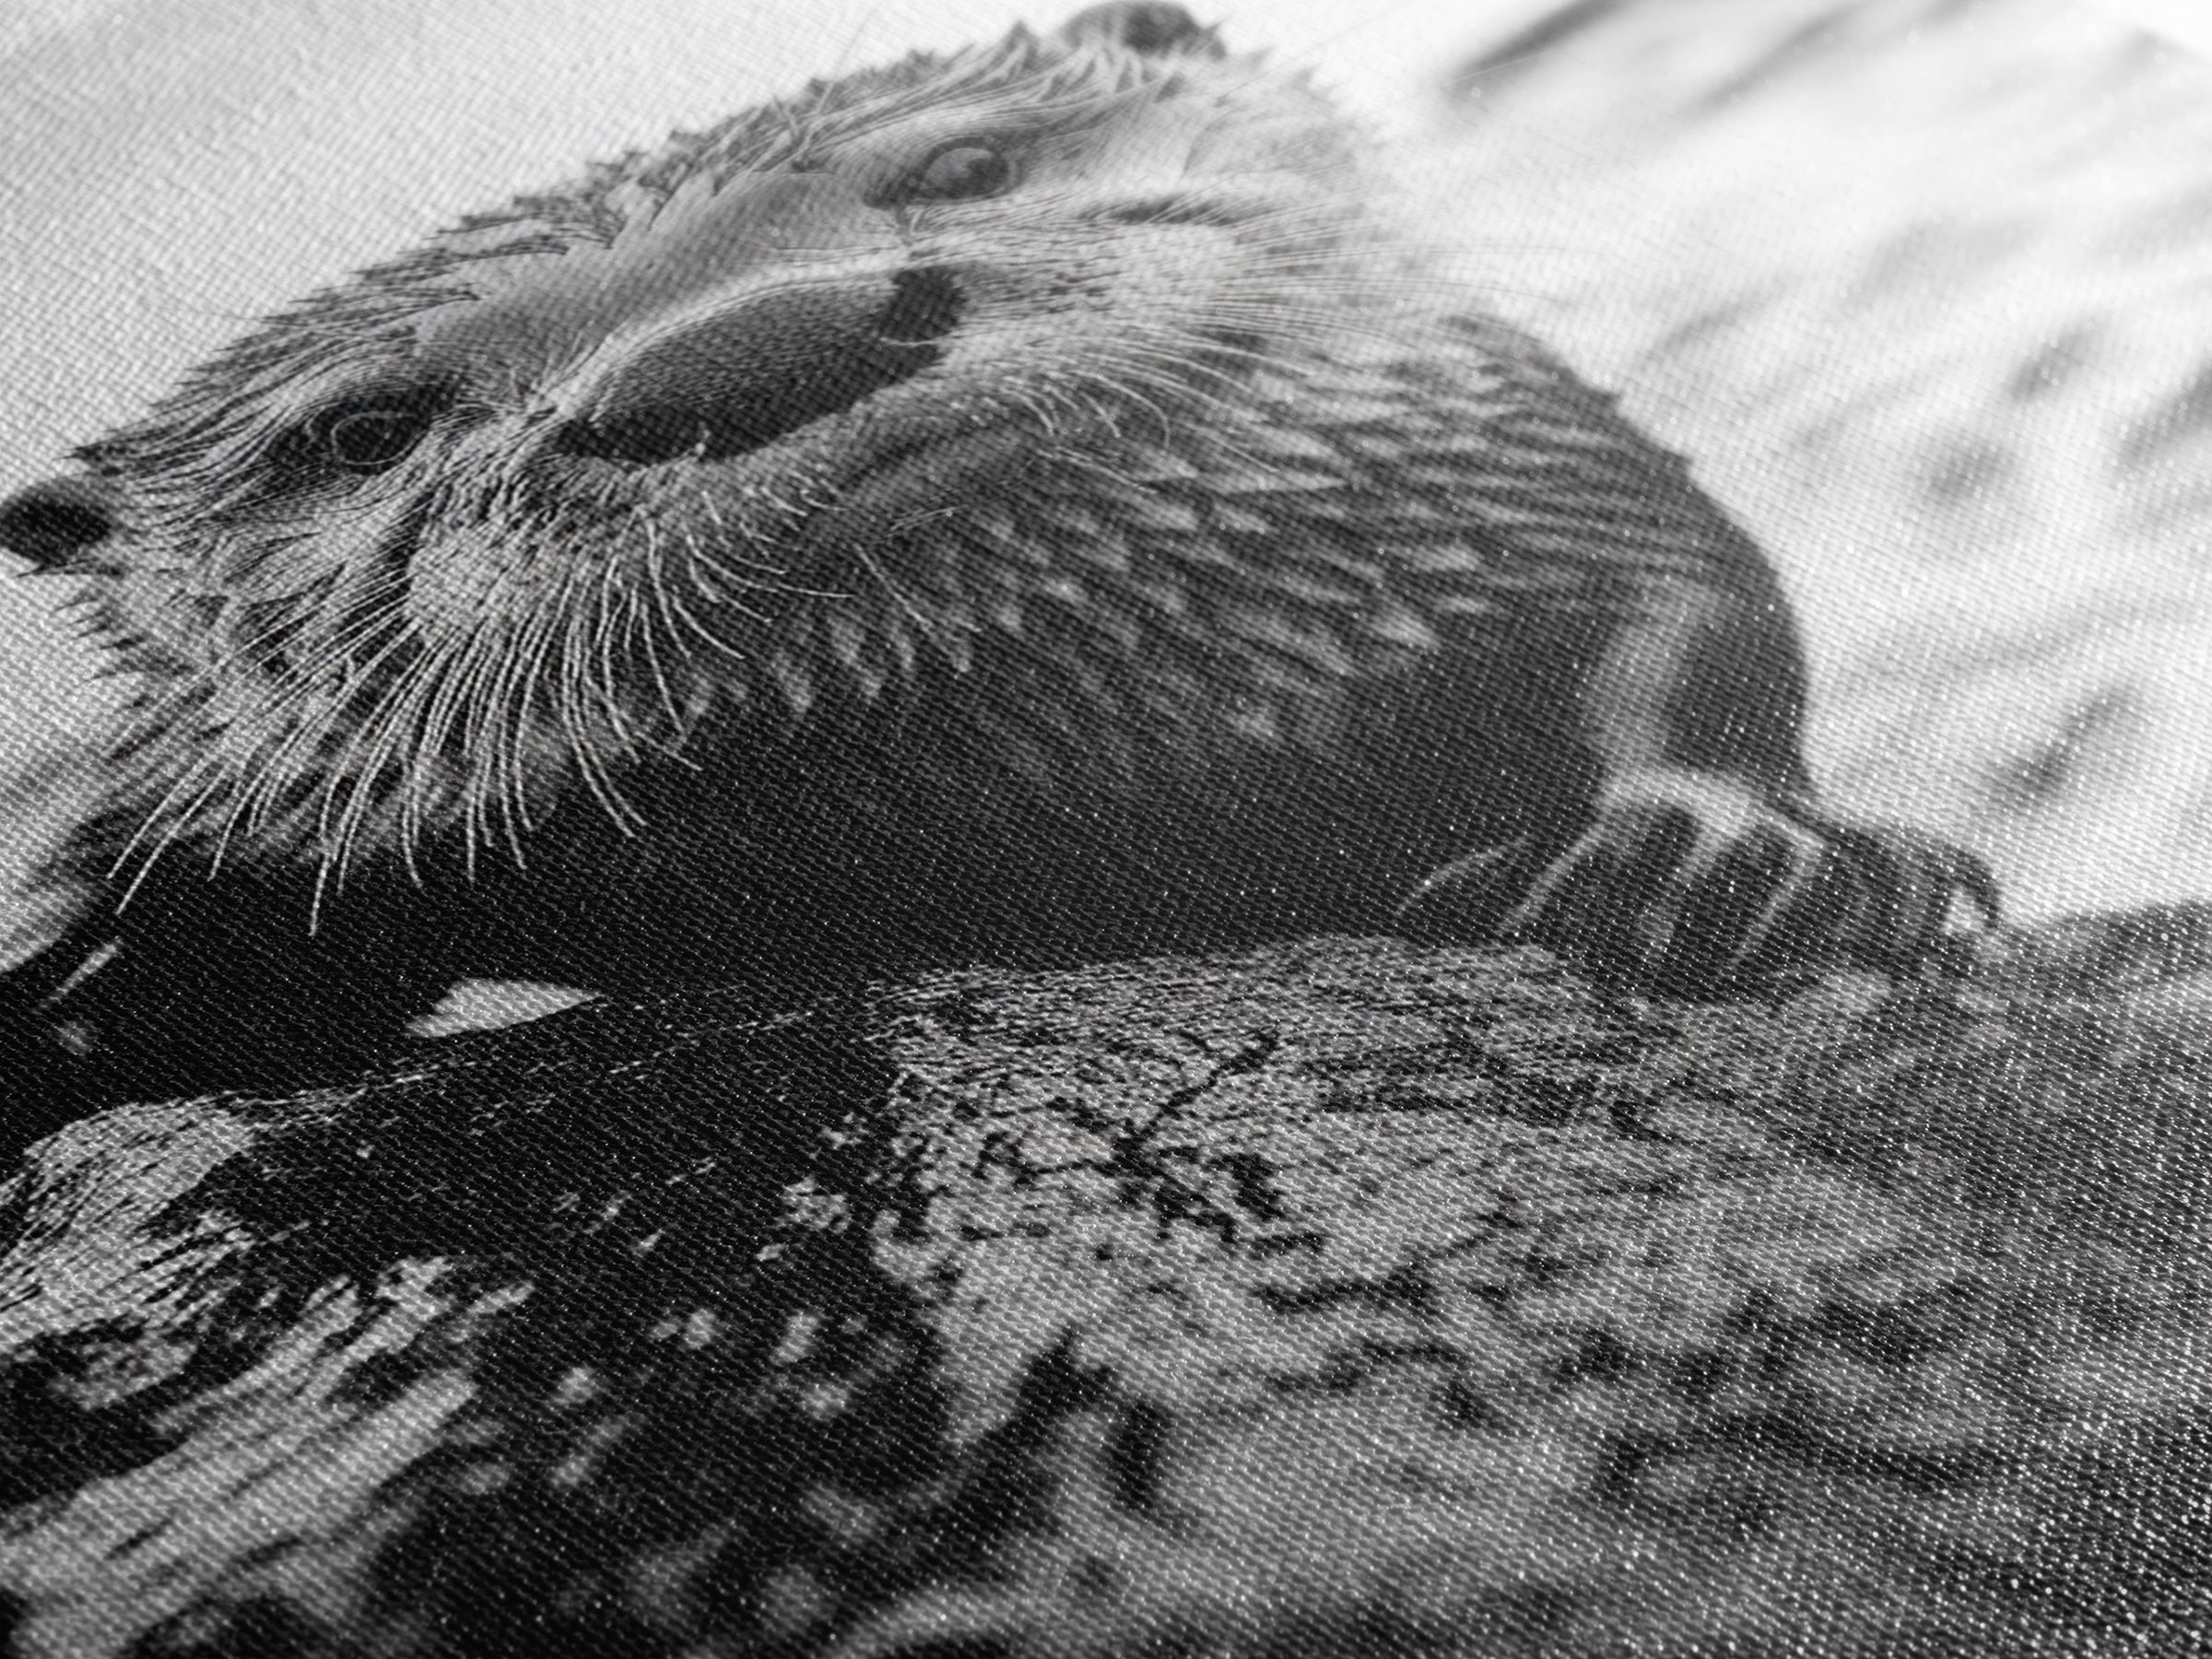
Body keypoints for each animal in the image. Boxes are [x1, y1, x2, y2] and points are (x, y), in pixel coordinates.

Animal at [0, 2, 1992, 1112]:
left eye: (963, 164)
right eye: (361, 432)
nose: (753, 343)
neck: (1111, 790)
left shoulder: (1521, 456)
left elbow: (1688, 617)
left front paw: (1715, 854)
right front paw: (83, 989)